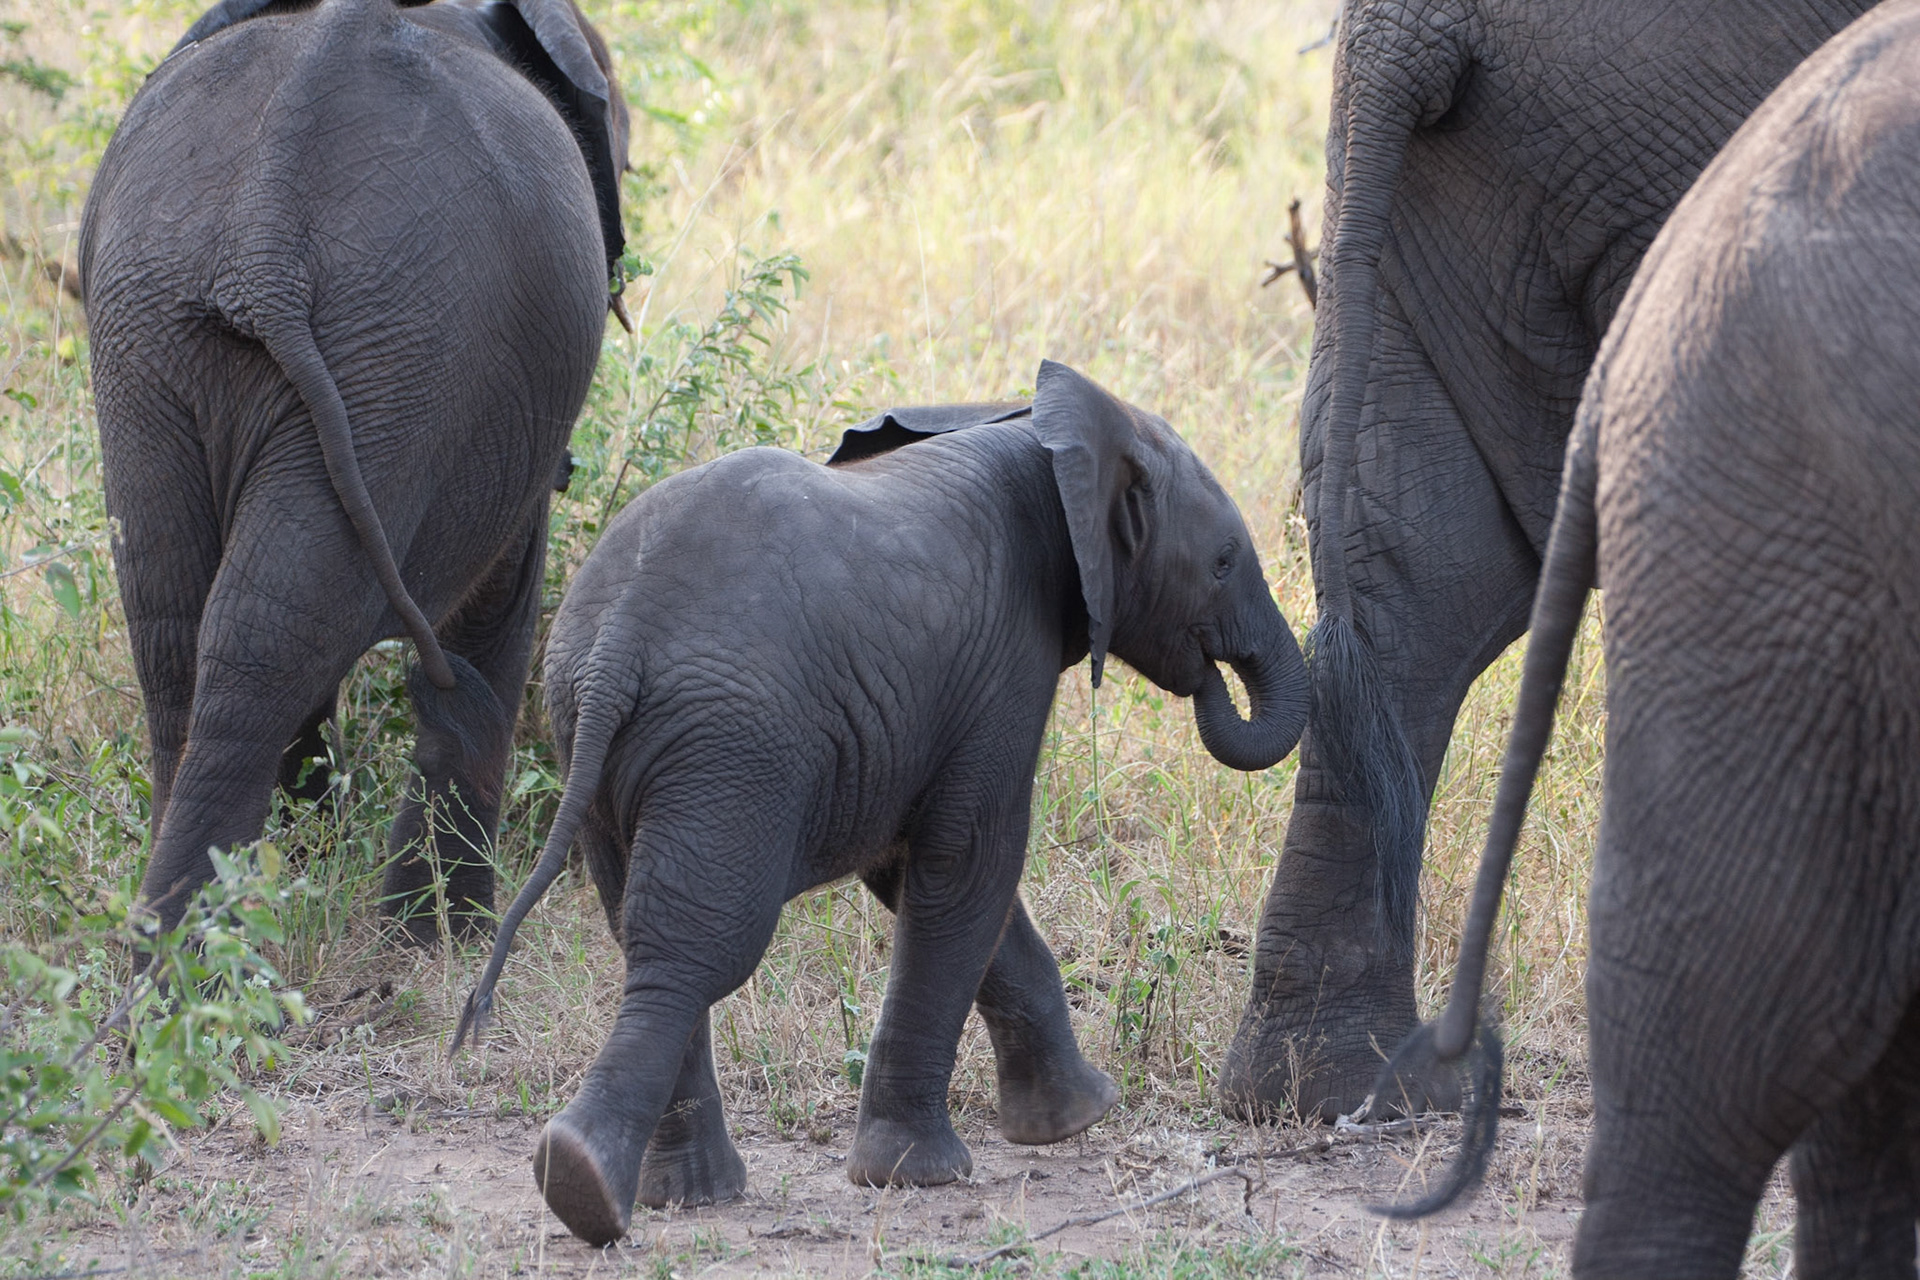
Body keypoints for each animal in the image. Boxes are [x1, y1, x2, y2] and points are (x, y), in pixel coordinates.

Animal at [79, 0, 627, 941]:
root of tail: (263, 228)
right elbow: (501, 596)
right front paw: (437, 942)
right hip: (407, 351)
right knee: (265, 631)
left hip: (159, 334)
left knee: (185, 620)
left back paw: (183, 952)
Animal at [452, 361, 1311, 1245]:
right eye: (1223, 562)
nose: (1210, 675)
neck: (1044, 433)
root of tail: (619, 638)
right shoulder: (1004, 664)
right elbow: (971, 865)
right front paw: (918, 1176)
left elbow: (919, 878)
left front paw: (1076, 1119)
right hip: (735, 746)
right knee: (693, 948)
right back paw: (590, 1185)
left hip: (602, 736)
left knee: (641, 928)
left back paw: (672, 1194)